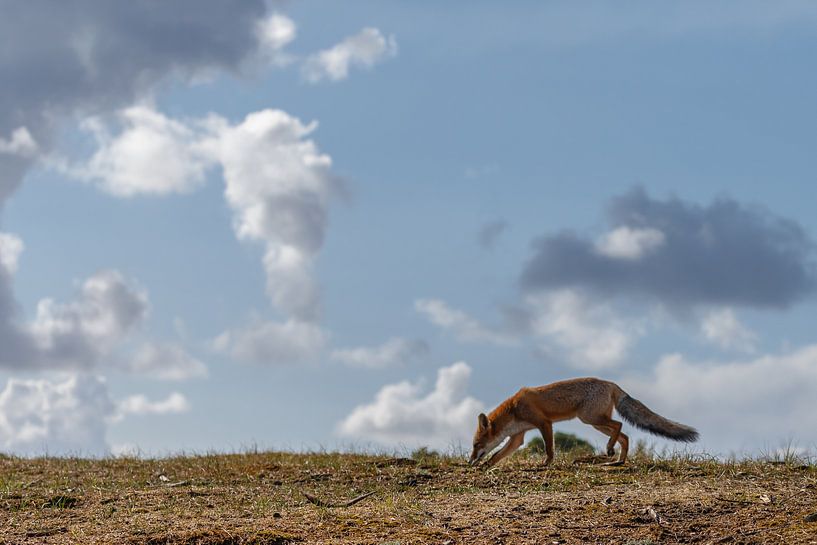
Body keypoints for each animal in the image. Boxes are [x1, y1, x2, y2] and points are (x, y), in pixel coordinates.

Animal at [468, 376, 700, 466]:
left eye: (476, 444)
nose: (469, 461)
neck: (514, 410)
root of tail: (611, 384)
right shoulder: (518, 436)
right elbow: (497, 455)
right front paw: (485, 466)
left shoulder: (544, 423)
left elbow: (549, 448)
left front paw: (546, 464)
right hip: (596, 423)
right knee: (624, 436)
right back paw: (617, 461)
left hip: (590, 419)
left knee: (620, 426)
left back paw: (610, 451)